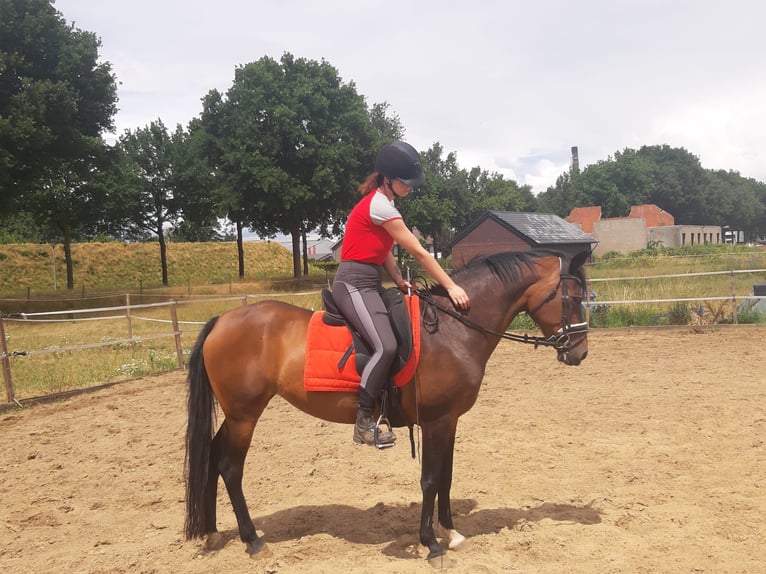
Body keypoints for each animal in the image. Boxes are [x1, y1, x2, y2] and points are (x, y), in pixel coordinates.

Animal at [184, 248, 590, 564]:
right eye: (573, 297)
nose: (580, 353)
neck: (453, 330)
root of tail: (222, 320)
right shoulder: (436, 422)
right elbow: (430, 479)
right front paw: (431, 544)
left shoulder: (450, 421)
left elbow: (446, 476)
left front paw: (451, 533)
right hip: (244, 416)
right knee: (229, 467)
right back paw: (253, 541)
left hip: (236, 416)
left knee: (212, 456)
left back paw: (213, 532)